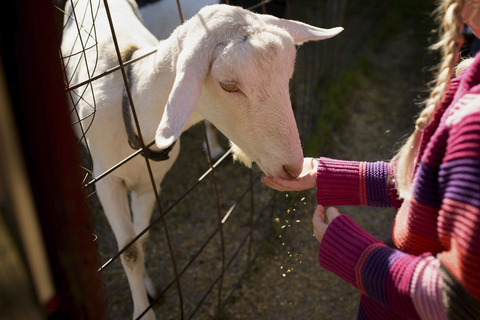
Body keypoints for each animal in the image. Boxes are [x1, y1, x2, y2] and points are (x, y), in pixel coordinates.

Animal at [62, 1, 342, 318]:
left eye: (288, 75)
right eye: (229, 85)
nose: (292, 168)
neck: (131, 109)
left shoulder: (150, 182)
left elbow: (141, 239)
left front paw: (148, 289)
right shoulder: (107, 180)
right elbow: (131, 251)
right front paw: (143, 310)